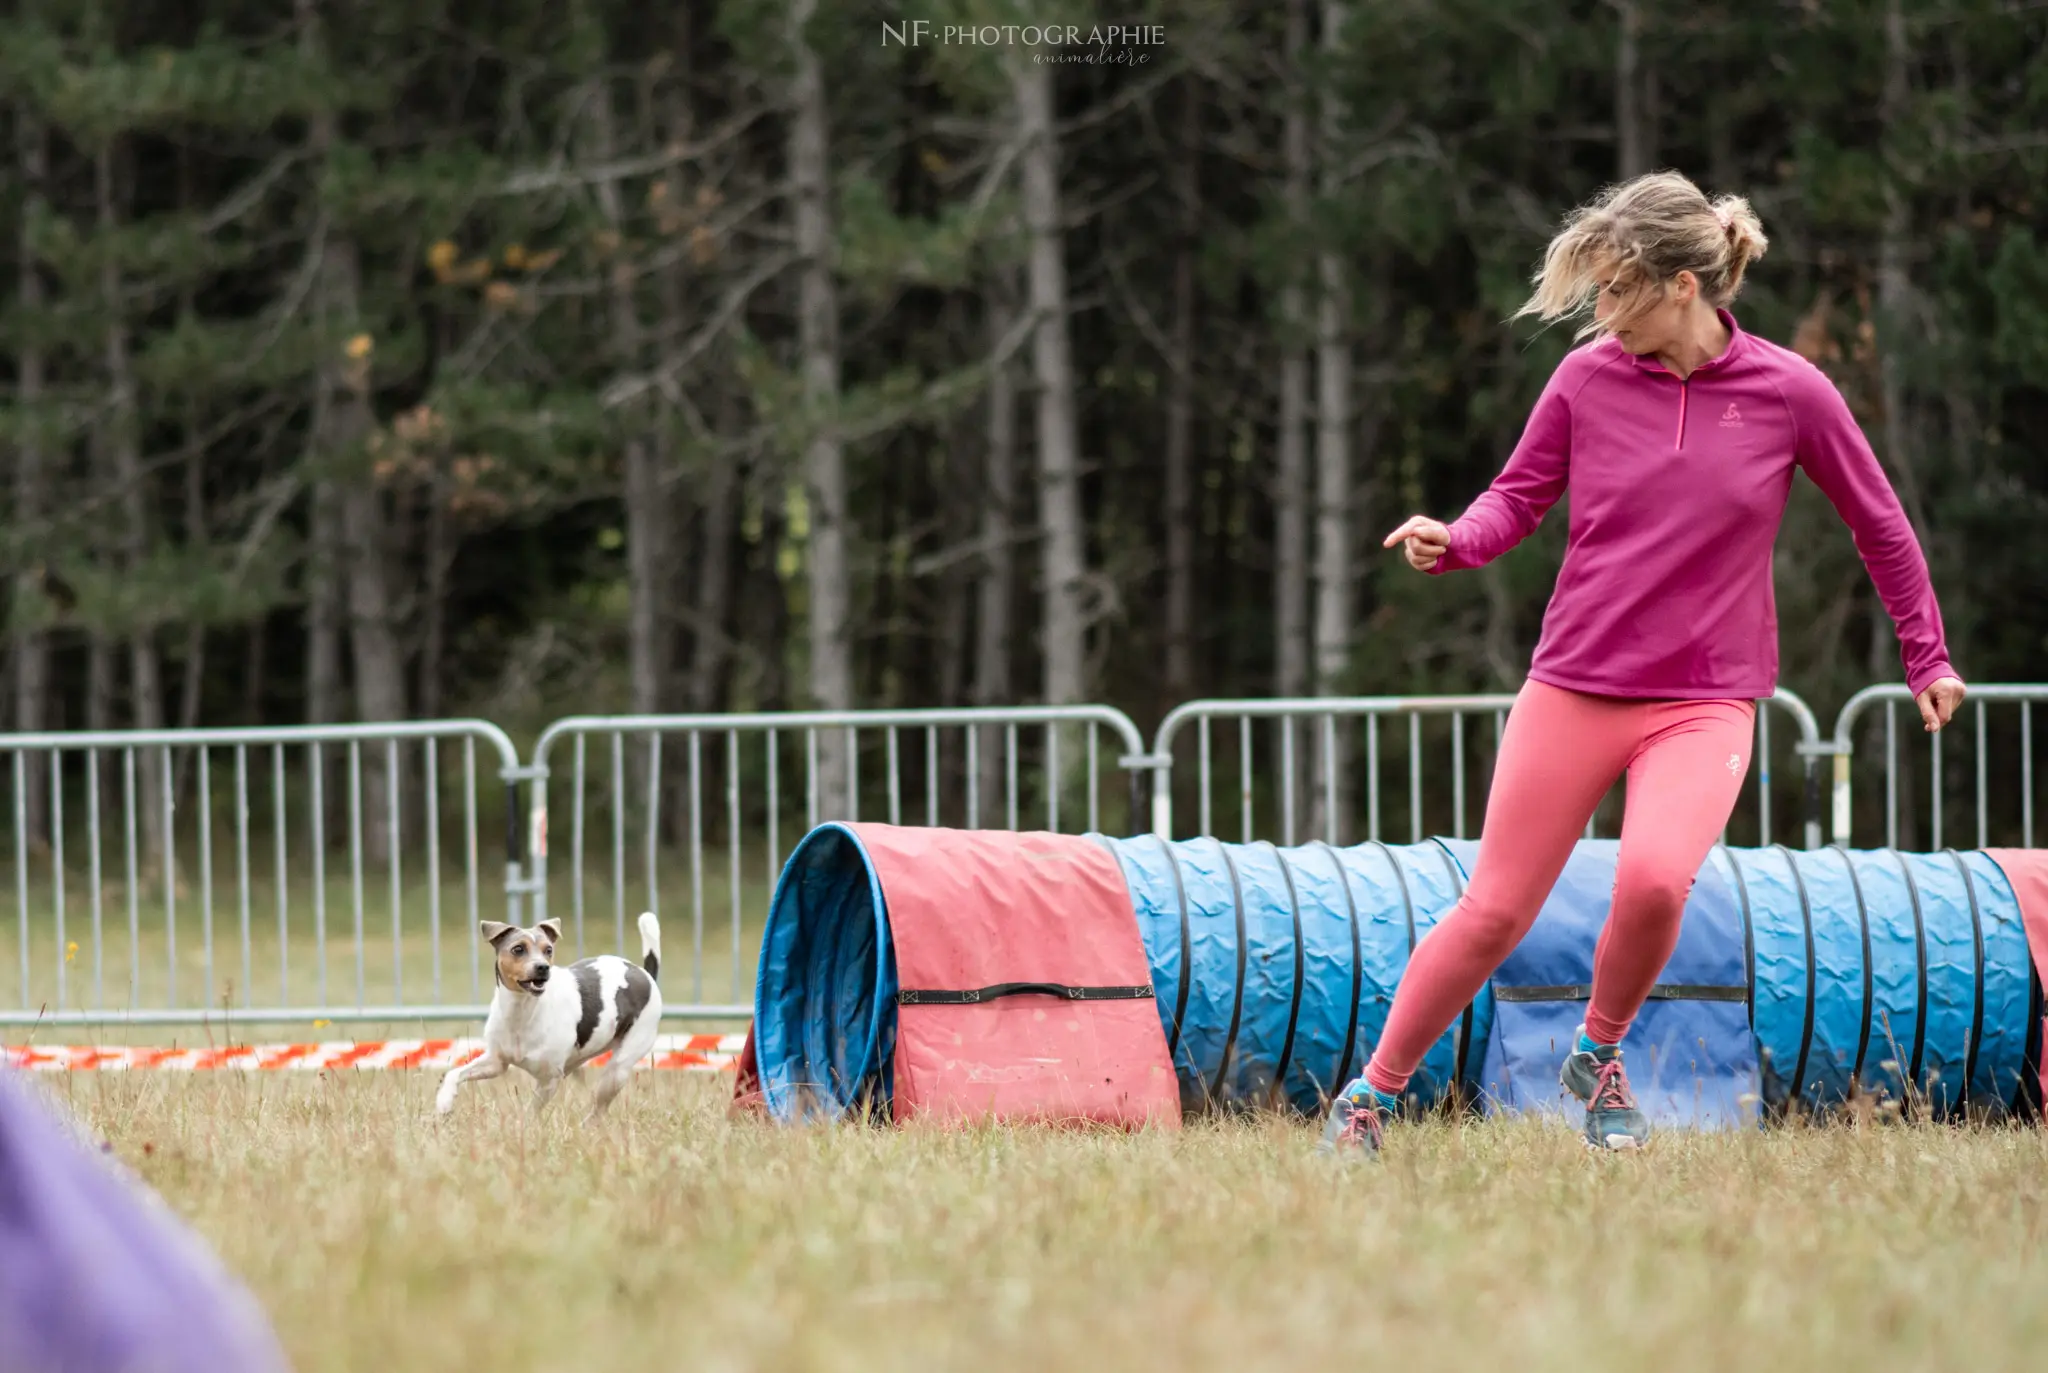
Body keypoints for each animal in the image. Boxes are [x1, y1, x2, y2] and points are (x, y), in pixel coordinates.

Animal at [438, 909, 663, 1122]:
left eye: (548, 950)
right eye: (518, 949)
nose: (543, 967)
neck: (522, 1011)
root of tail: (646, 975)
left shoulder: (549, 1080)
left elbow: (531, 1112)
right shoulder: (496, 1062)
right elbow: (454, 1073)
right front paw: (444, 1103)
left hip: (617, 1071)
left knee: (598, 1111)